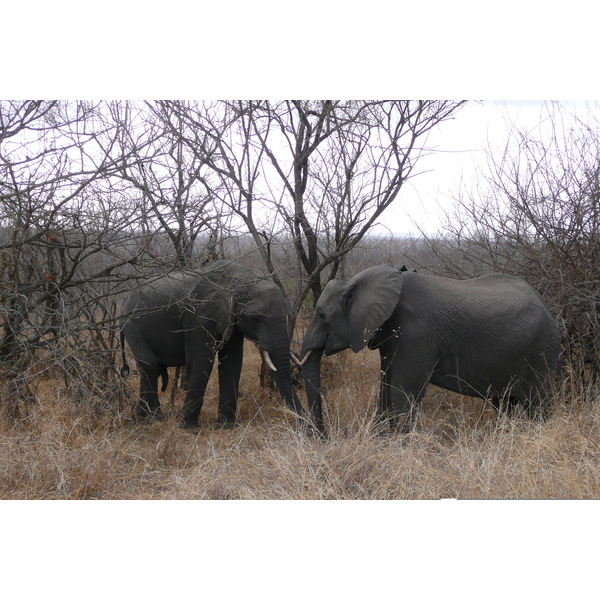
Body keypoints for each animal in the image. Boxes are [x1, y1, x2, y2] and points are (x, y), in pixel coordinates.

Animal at [120, 260, 310, 428]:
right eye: (255, 318)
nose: (309, 428)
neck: (239, 280)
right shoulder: (198, 314)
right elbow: (201, 361)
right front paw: (189, 427)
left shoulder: (231, 319)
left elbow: (232, 362)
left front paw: (229, 426)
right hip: (132, 324)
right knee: (150, 365)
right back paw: (156, 420)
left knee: (151, 367)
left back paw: (142, 418)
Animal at [302, 264, 560, 434]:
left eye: (322, 315)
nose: (324, 437)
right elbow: (386, 388)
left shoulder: (416, 335)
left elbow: (403, 391)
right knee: (504, 403)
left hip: (541, 354)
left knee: (538, 405)